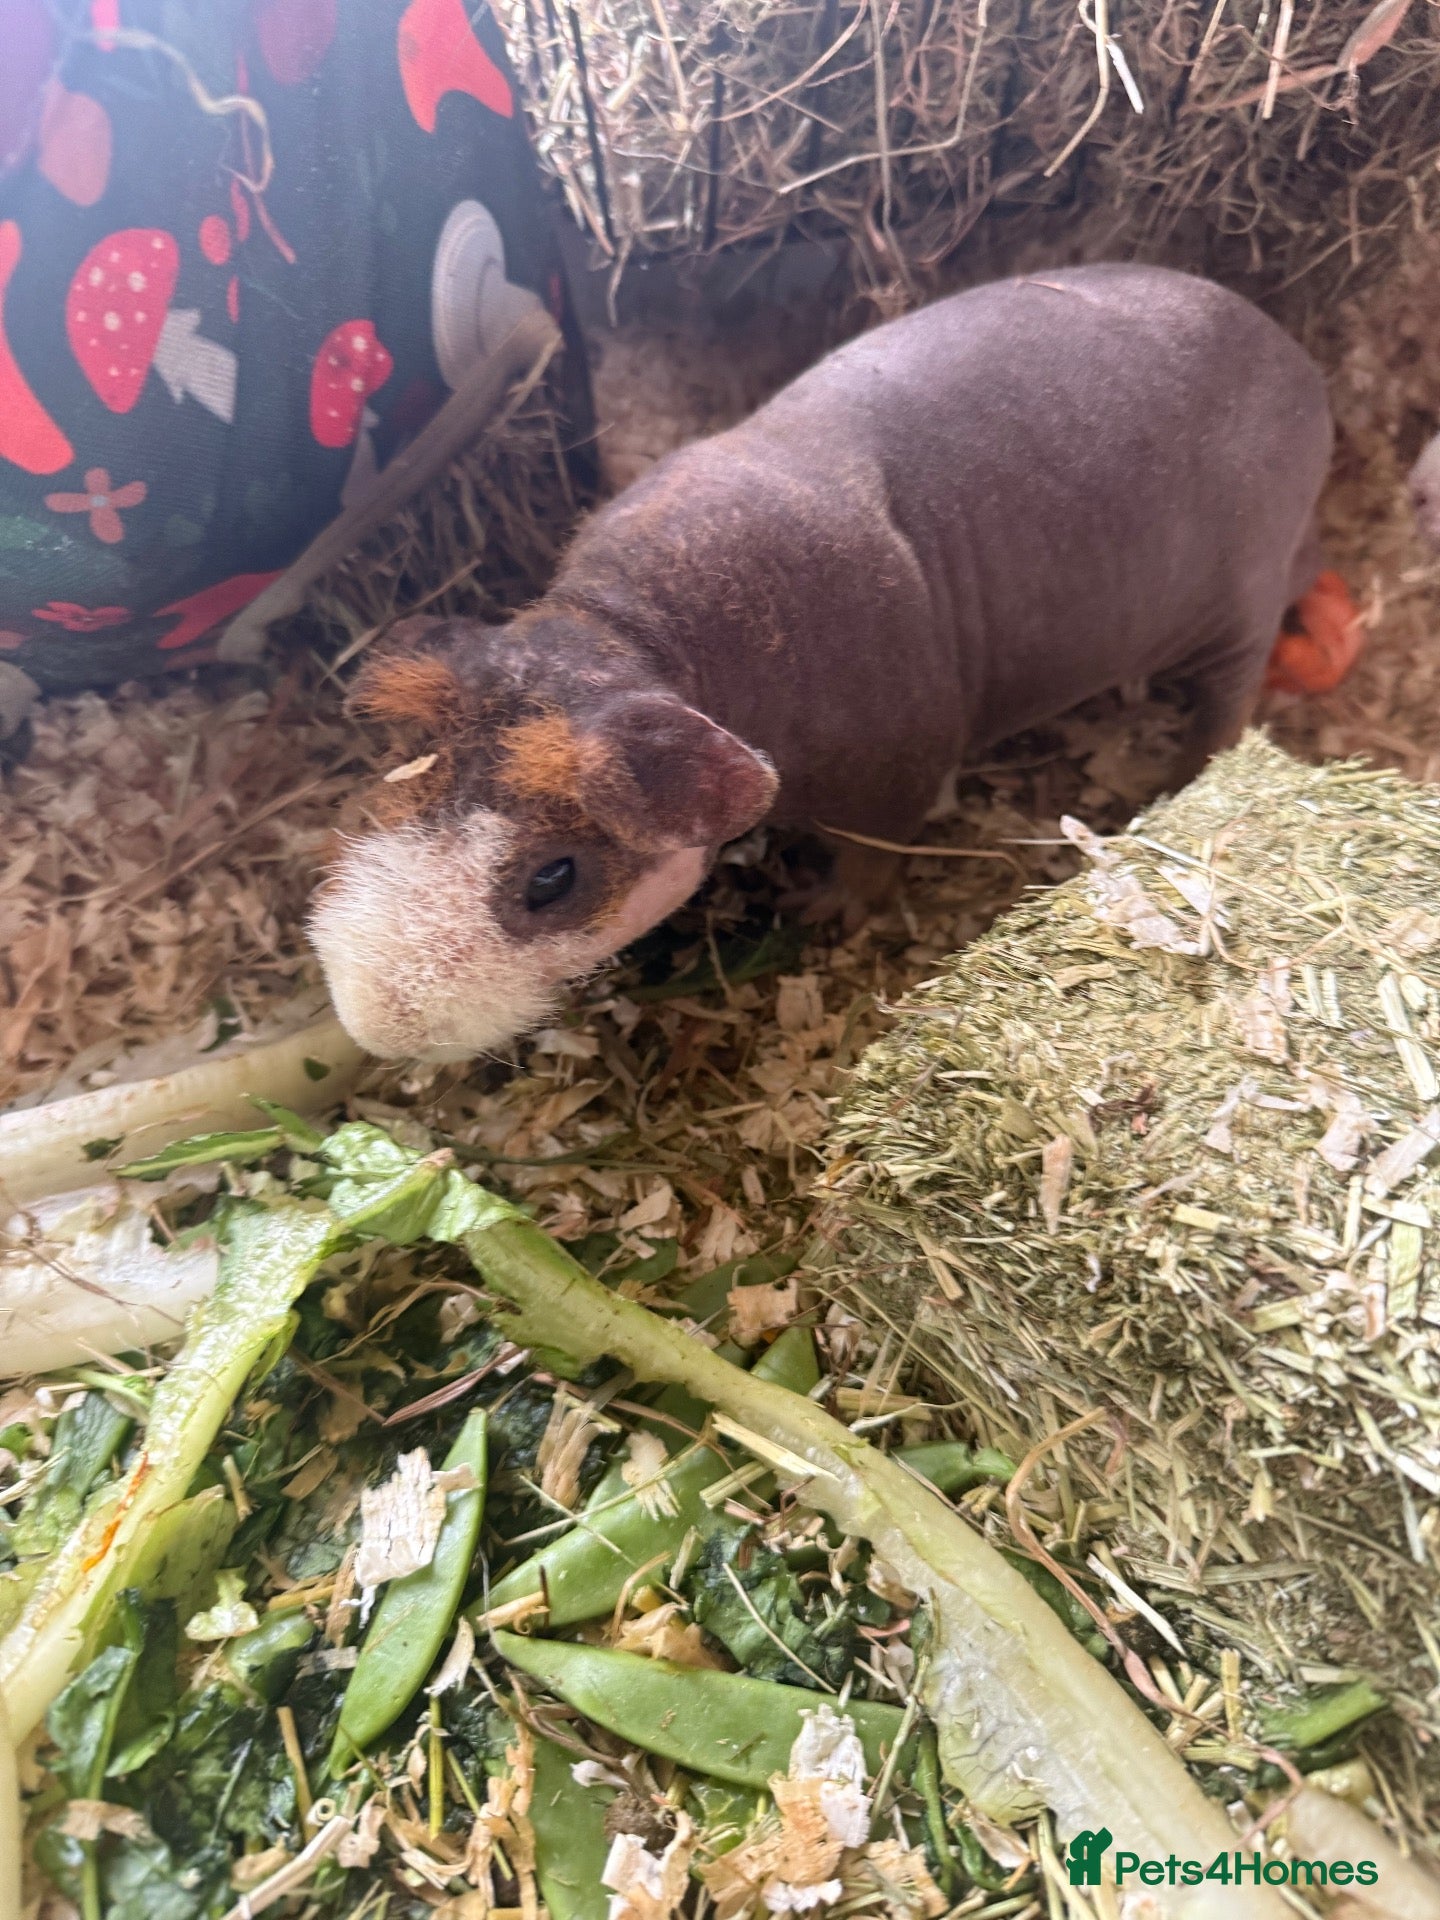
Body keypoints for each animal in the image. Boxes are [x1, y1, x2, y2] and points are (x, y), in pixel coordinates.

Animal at [310, 262, 1333, 1062]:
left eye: (551, 878)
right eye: (396, 791)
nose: (373, 1027)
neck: (630, 636)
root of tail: (1301, 371)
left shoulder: (894, 779)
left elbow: (871, 862)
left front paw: (821, 911)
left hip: (1240, 610)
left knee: (1226, 705)